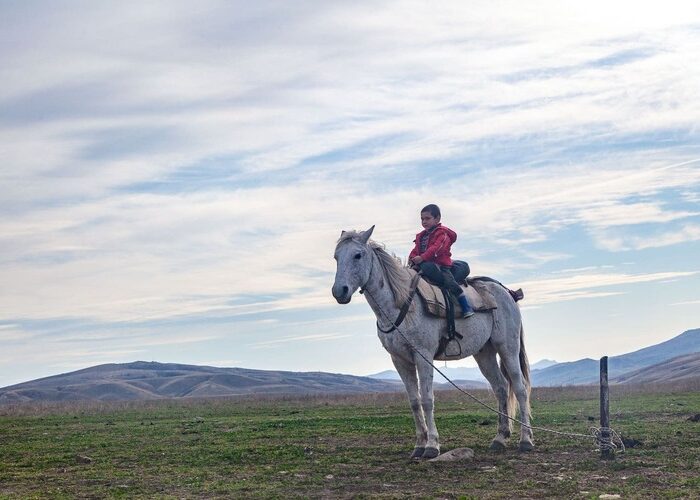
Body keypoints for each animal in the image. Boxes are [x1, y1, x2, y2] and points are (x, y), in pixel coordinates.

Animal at [332, 226, 533, 459]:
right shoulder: (400, 360)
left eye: (358, 255)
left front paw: (431, 446)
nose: (339, 291)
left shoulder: (423, 356)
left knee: (519, 388)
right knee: (500, 387)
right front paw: (419, 445)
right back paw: (500, 437)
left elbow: (427, 400)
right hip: (485, 353)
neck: (402, 304)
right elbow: (414, 402)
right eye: (336, 257)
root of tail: (507, 293)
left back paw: (526, 440)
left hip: (508, 348)